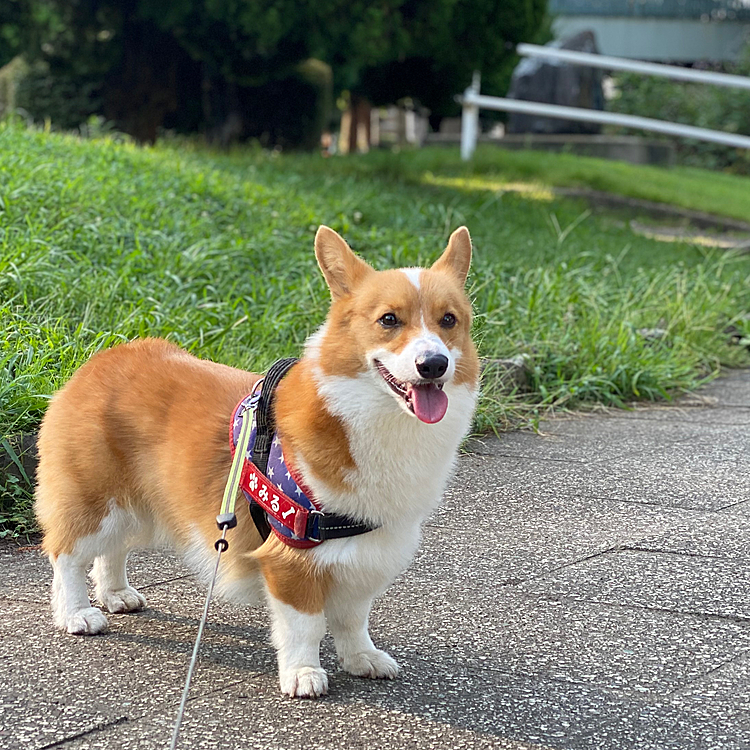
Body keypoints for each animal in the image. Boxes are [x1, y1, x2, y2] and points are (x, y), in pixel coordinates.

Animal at [35, 225, 478, 700]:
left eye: (448, 320)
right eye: (389, 320)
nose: (433, 364)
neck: (369, 418)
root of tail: (102, 358)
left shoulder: (366, 553)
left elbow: (353, 618)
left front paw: (362, 658)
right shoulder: (291, 558)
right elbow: (305, 625)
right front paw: (303, 673)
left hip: (140, 504)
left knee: (112, 549)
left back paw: (116, 594)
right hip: (96, 498)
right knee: (66, 553)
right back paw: (77, 613)